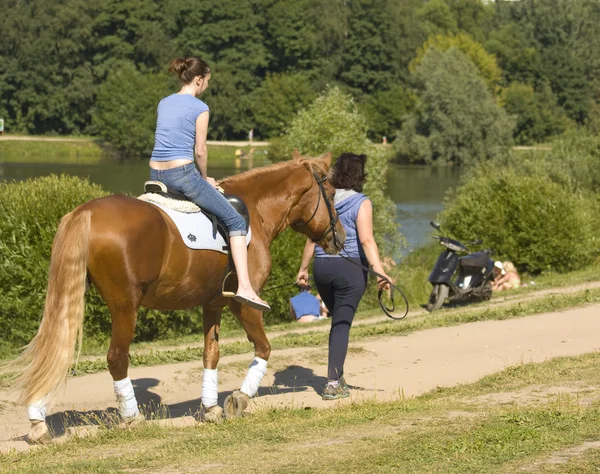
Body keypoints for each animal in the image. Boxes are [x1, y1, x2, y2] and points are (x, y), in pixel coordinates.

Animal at [14, 151, 344, 440]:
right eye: (331, 193)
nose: (339, 236)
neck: (254, 210)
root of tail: (87, 212)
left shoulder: (214, 304)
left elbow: (211, 353)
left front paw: (210, 408)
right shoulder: (243, 303)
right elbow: (263, 348)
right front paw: (240, 398)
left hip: (71, 297)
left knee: (57, 348)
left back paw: (38, 421)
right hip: (125, 306)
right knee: (116, 358)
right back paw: (132, 417)